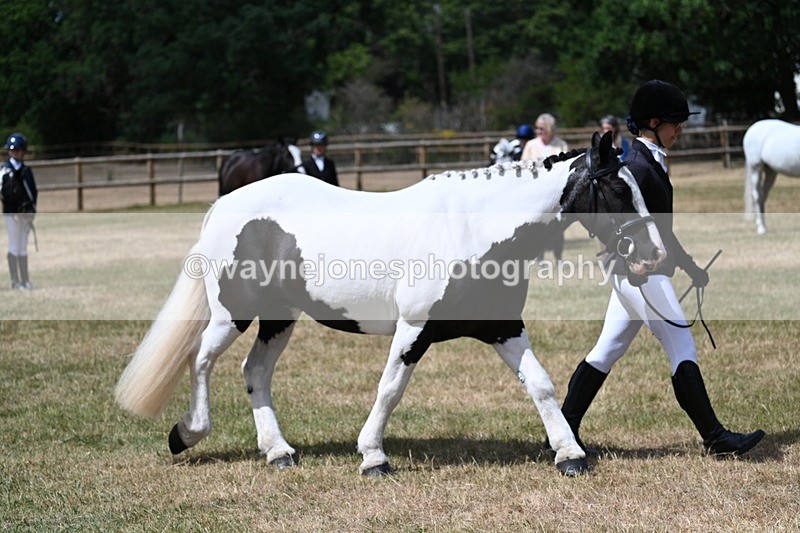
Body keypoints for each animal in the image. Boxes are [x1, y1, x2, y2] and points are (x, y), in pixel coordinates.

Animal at [115, 131, 666, 478]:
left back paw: (278, 453)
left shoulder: (503, 326)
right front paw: (373, 458)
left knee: (255, 372)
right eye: (617, 188)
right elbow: (390, 390)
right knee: (201, 360)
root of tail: (225, 204)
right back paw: (188, 433)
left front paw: (570, 455)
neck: (473, 230)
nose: (653, 255)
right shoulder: (414, 329)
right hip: (234, 314)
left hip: (279, 319)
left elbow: (542, 385)